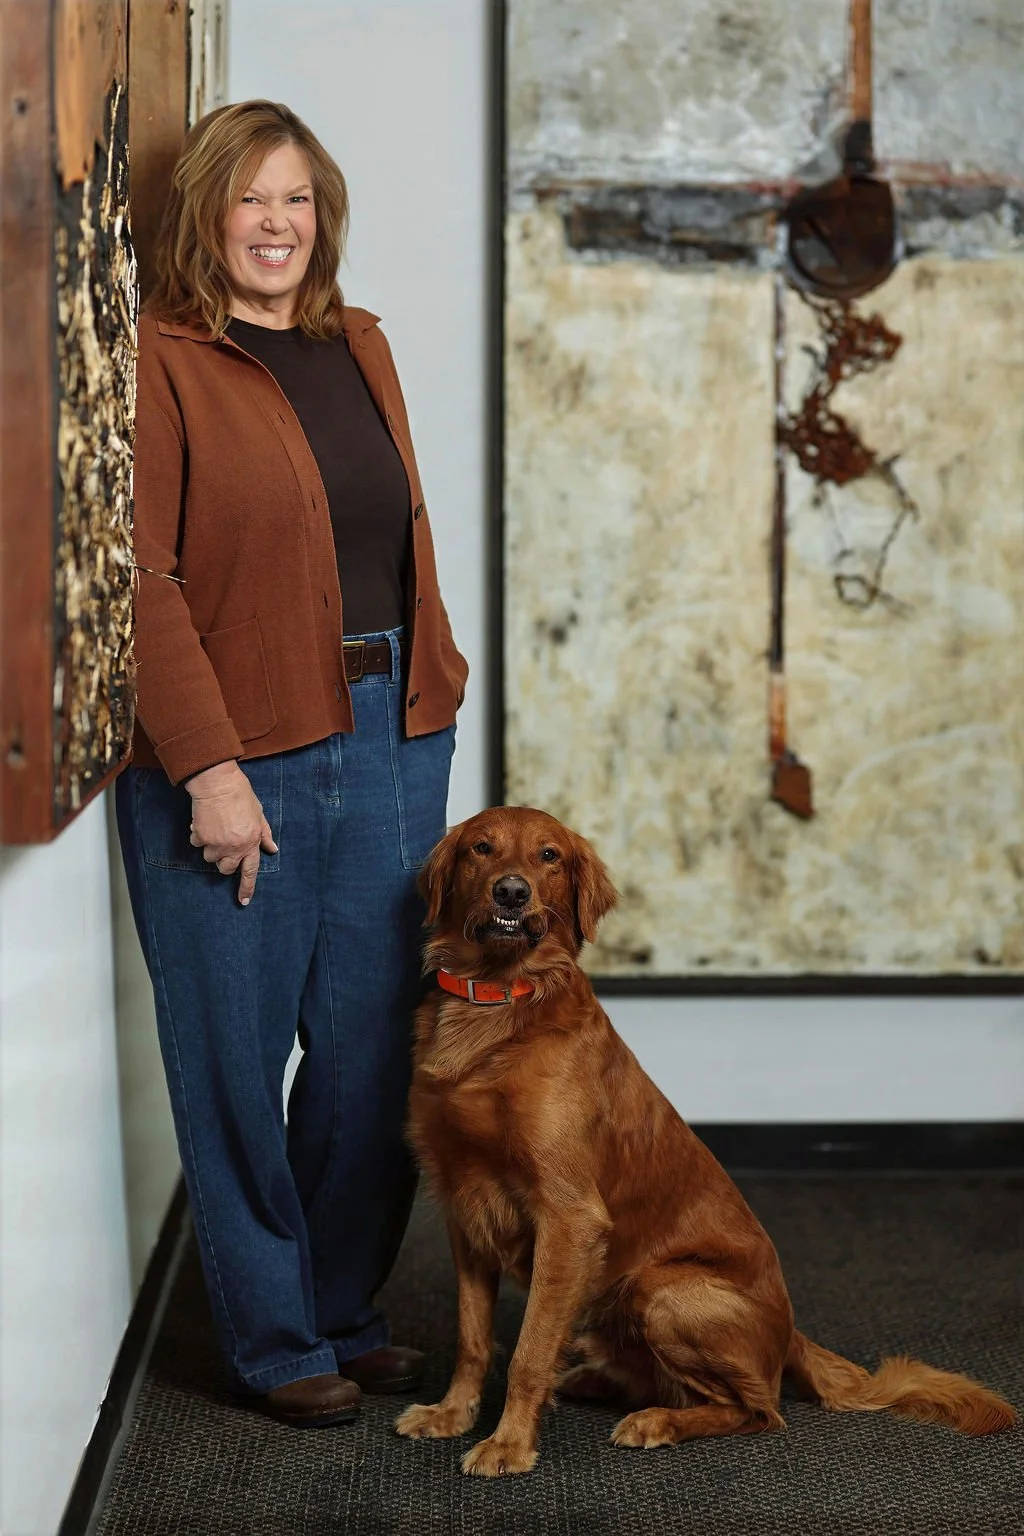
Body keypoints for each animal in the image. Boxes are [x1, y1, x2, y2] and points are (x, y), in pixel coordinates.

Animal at [395, 807, 1015, 1477]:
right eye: (482, 848)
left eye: (549, 856)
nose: (512, 891)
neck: (496, 1005)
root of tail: (790, 1333)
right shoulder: (464, 1207)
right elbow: (474, 1338)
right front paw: (451, 1413)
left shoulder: (568, 1217)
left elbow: (528, 1351)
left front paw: (508, 1442)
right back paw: (592, 1381)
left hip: (659, 1288)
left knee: (759, 1409)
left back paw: (657, 1420)